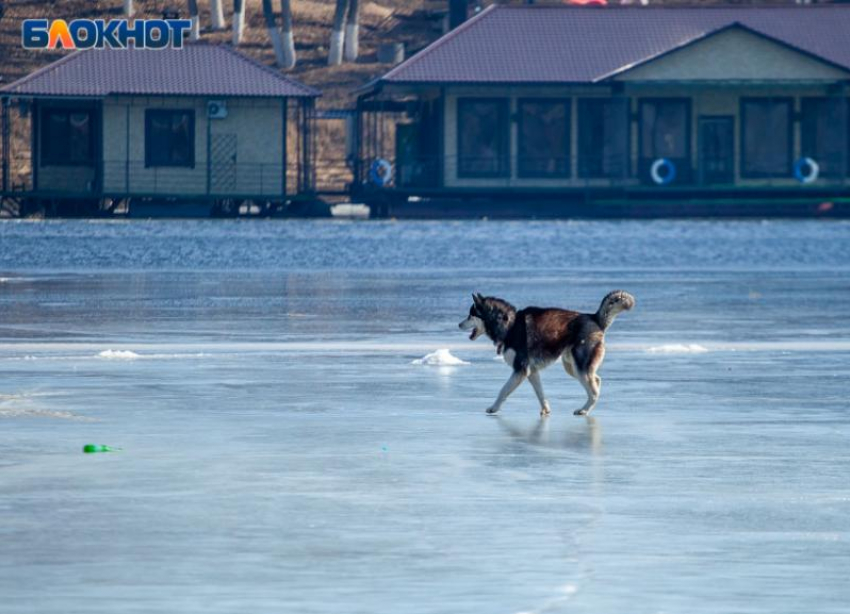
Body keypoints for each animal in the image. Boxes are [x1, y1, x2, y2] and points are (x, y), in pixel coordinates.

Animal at [460, 292, 632, 418]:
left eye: (471, 315)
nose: (459, 324)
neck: (509, 325)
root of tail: (594, 318)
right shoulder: (531, 371)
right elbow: (540, 393)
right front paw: (545, 410)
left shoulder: (520, 369)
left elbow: (503, 390)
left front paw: (494, 408)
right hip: (572, 367)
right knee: (596, 380)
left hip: (579, 368)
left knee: (594, 391)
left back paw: (584, 410)